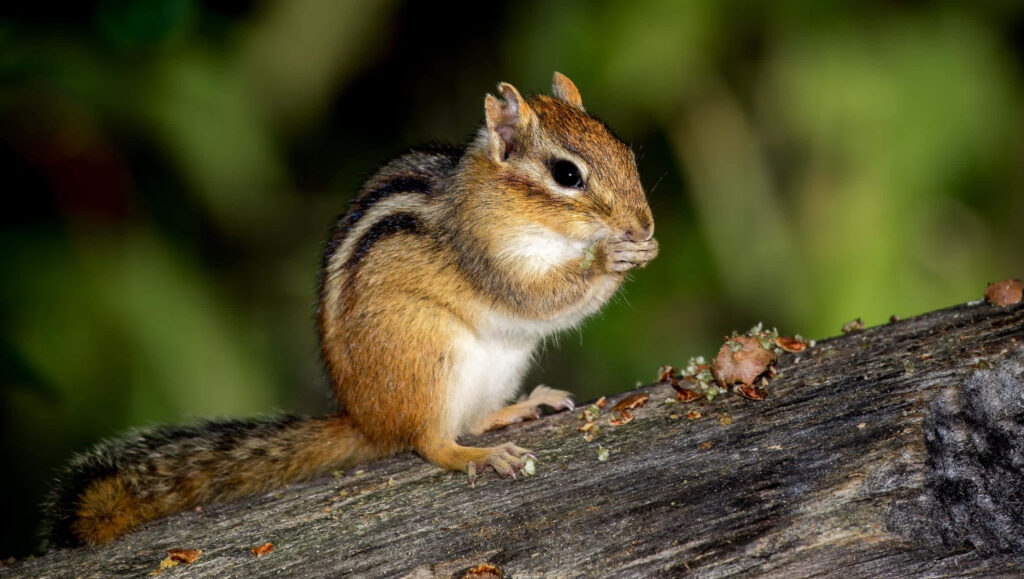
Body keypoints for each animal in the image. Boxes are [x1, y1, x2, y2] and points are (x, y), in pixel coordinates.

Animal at [41, 72, 658, 548]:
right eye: (567, 175)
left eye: (626, 152)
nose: (644, 224)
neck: (497, 202)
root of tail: (364, 418)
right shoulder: (488, 258)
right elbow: (540, 298)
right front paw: (612, 256)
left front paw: (641, 248)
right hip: (426, 352)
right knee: (430, 441)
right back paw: (476, 457)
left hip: (496, 366)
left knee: (469, 420)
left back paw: (519, 409)